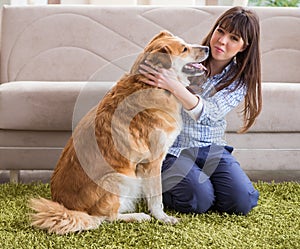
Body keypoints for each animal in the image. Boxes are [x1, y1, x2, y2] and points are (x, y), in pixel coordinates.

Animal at [29, 30, 209, 234]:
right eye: (184, 49)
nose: (207, 48)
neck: (151, 85)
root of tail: (69, 208)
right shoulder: (153, 161)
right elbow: (157, 197)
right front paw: (163, 218)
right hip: (121, 178)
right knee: (106, 217)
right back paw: (138, 216)